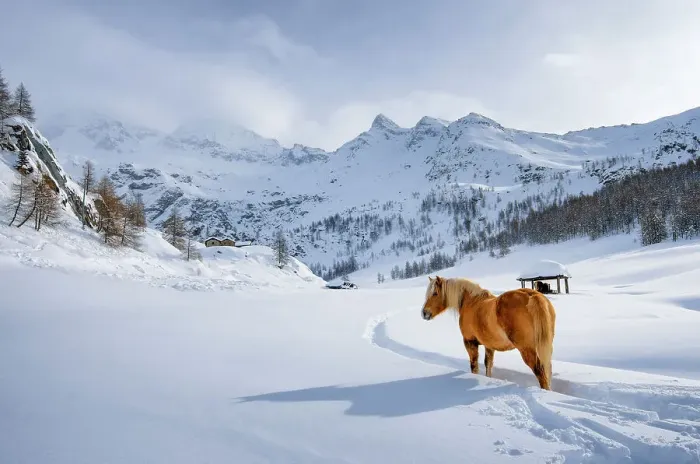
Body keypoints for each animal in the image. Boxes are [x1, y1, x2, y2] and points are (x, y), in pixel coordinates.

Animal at [421, 276, 556, 390]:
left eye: (435, 293)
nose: (424, 313)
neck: (471, 302)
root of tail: (532, 295)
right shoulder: (489, 346)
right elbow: (488, 365)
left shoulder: (469, 342)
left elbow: (474, 365)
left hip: (526, 349)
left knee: (540, 371)